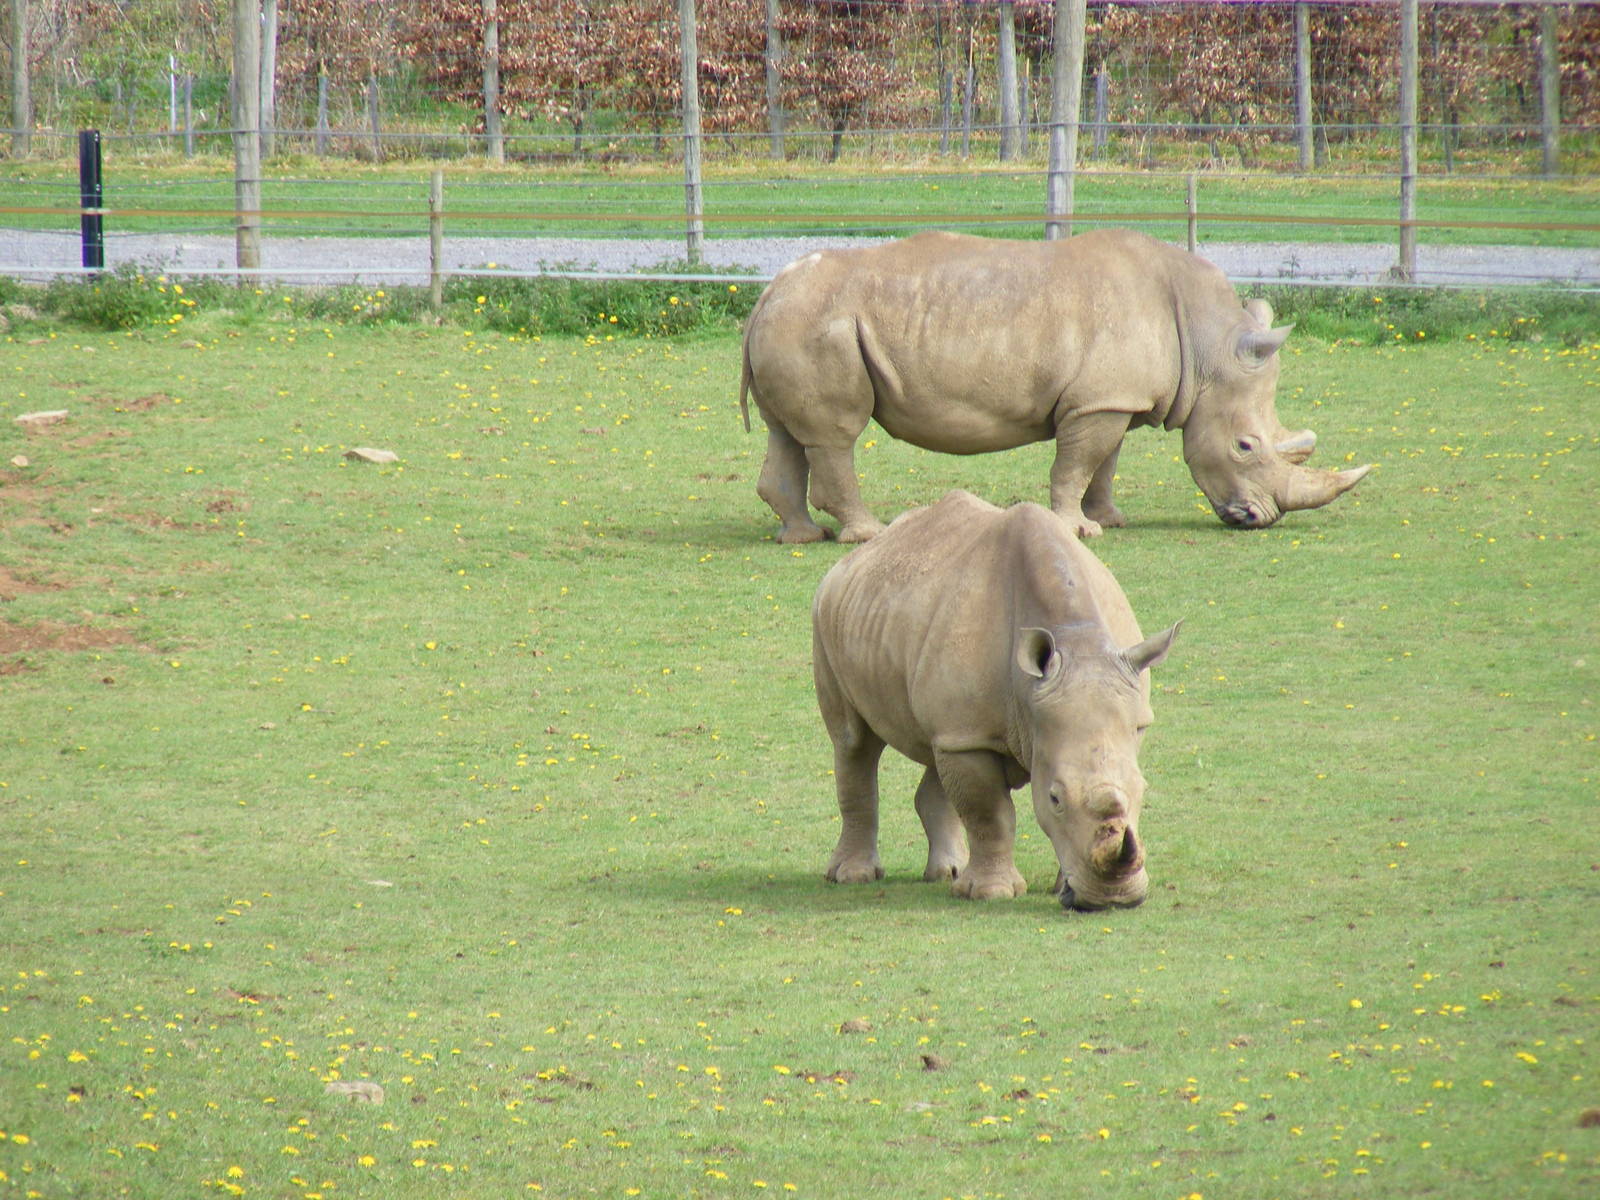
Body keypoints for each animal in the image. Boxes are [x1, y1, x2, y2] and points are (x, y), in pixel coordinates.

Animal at [740, 228, 1370, 543]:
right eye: (1244, 446)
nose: (1260, 519)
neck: (1207, 347)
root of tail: (767, 294)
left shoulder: (1113, 399)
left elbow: (1105, 463)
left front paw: (1111, 520)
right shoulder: (1097, 403)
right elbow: (1076, 464)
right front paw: (1079, 531)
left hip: (796, 321)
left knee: (787, 433)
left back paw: (802, 537)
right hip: (820, 324)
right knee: (835, 435)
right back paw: (868, 536)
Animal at [811, 490, 1178, 910]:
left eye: (1144, 791)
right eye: (1055, 798)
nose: (1111, 899)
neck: (1075, 639)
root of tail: (858, 556)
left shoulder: (1120, 722)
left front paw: (1060, 886)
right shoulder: (973, 737)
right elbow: (989, 813)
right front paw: (991, 893)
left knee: (935, 748)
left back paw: (948, 873)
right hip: (825, 613)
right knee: (853, 743)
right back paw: (853, 876)